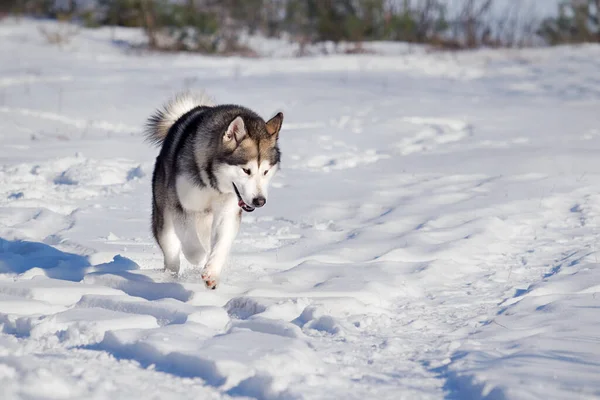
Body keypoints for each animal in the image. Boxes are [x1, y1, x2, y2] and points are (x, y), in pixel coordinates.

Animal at [146, 92, 284, 290]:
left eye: (265, 171)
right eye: (246, 170)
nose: (259, 201)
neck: (213, 184)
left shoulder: (228, 210)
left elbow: (221, 244)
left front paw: (211, 272)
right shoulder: (181, 205)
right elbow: (191, 242)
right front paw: (199, 257)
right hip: (164, 215)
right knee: (171, 251)